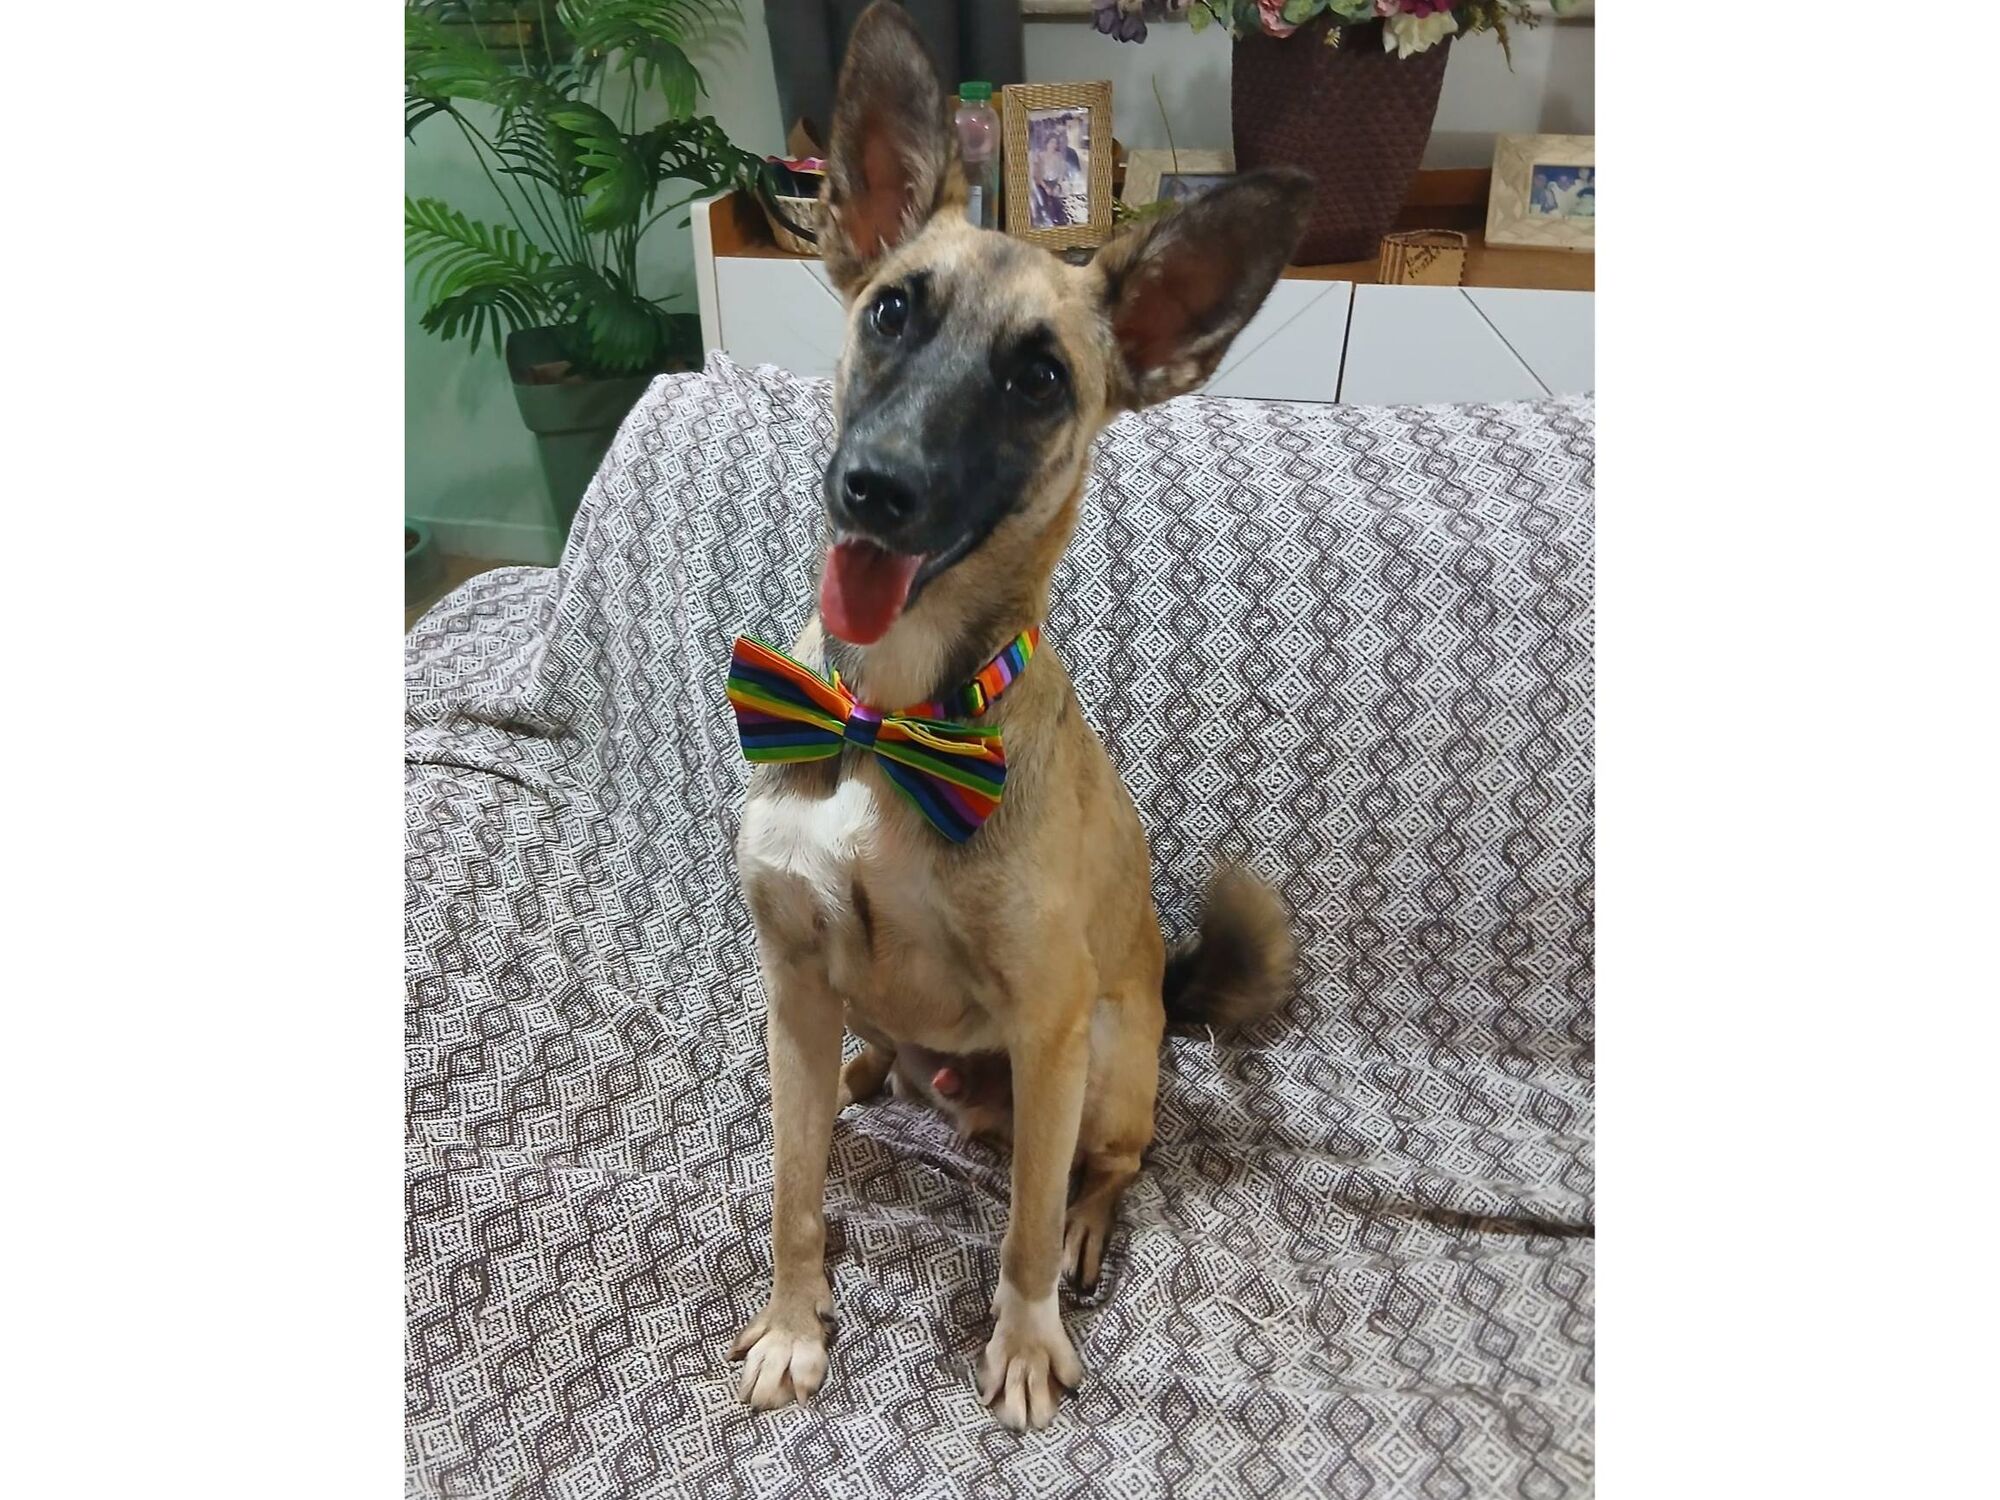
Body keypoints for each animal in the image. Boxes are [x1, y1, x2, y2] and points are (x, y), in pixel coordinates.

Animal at [728, 0, 1307, 1432]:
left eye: (1040, 378)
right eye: (890, 310)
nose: (874, 489)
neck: (886, 723)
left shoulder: (1046, 1026)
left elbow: (1023, 1228)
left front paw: (1027, 1339)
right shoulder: (788, 979)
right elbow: (792, 1191)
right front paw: (793, 1323)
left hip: (1101, 1056)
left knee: (1102, 1170)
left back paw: (1090, 1223)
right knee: (870, 1070)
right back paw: (871, 1073)